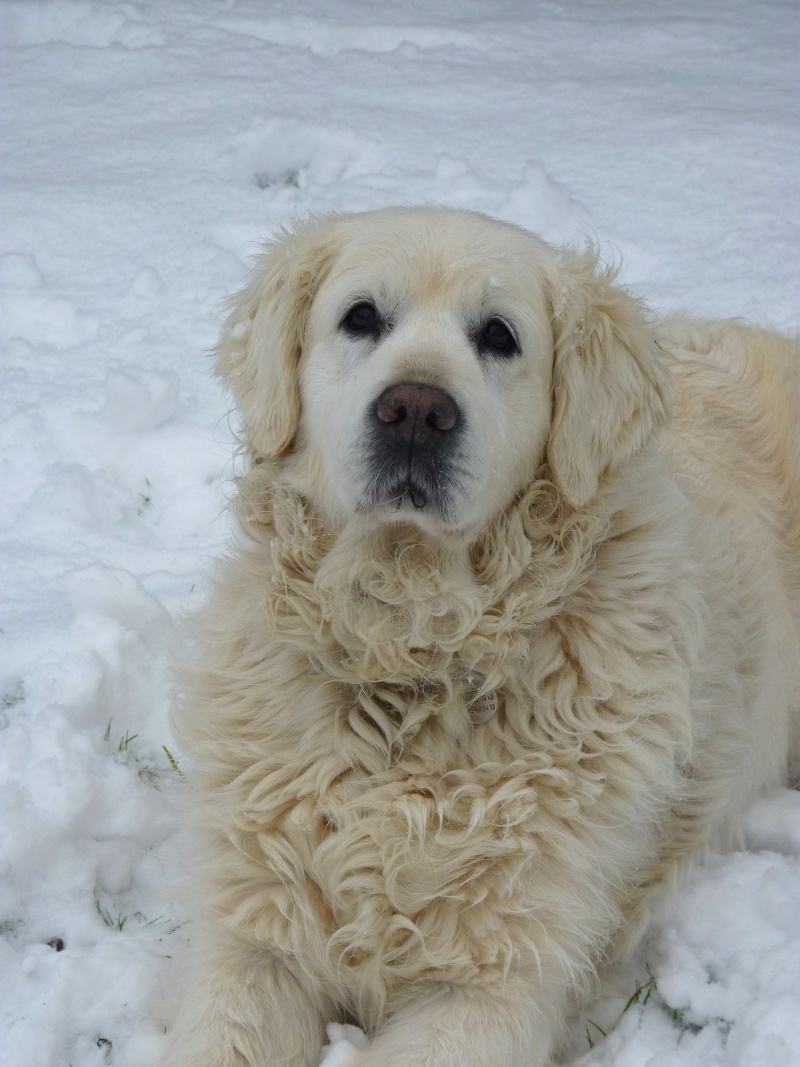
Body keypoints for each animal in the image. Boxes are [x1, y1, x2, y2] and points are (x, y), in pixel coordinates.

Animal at [164, 208, 800, 1067]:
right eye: (361, 317)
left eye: (499, 335)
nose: (414, 410)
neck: (413, 655)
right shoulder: (256, 939)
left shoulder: (492, 983)